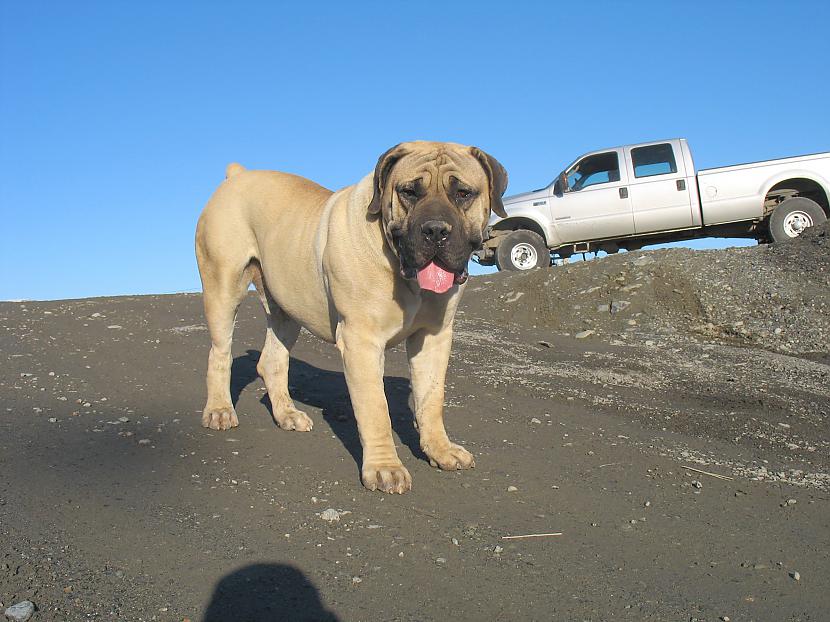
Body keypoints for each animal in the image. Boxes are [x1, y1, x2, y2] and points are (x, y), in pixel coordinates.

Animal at [197, 143, 508, 498]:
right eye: (409, 192)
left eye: (463, 193)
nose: (435, 230)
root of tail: (238, 174)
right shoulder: (361, 342)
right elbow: (376, 409)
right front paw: (385, 468)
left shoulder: (434, 337)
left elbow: (431, 399)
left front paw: (440, 450)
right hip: (223, 287)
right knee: (219, 353)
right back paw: (220, 409)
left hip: (286, 310)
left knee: (272, 361)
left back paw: (288, 414)